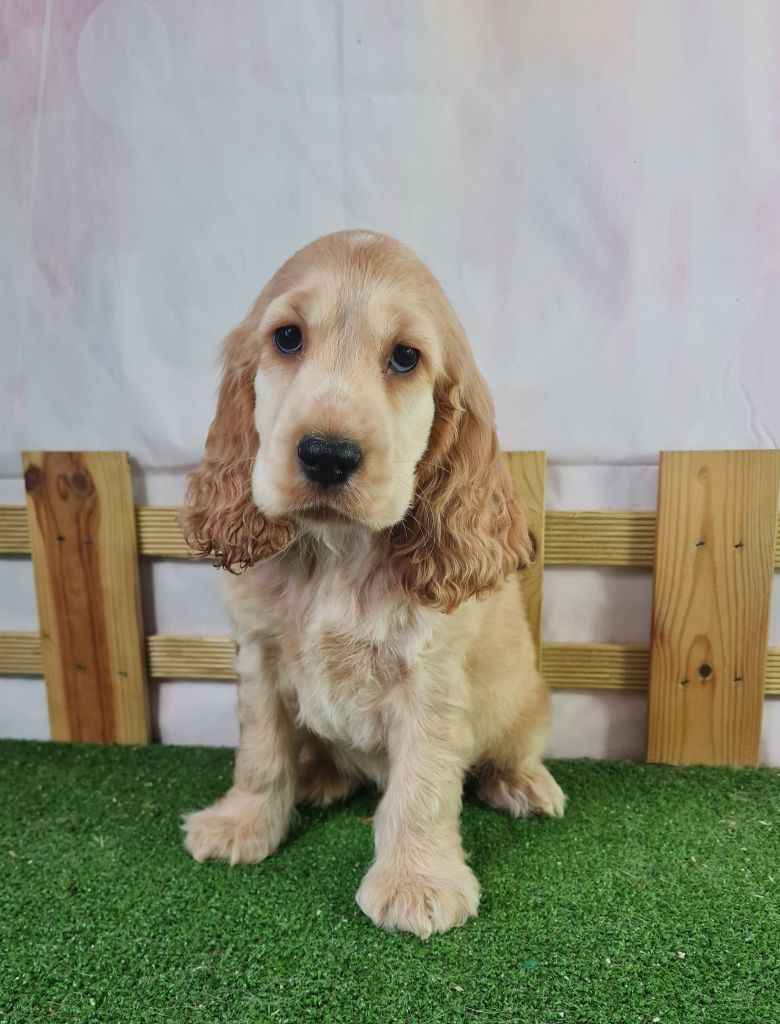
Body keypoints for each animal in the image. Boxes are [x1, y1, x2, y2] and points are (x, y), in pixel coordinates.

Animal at [181, 230, 564, 938]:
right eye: (287, 338)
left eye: (405, 357)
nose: (327, 455)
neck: (337, 552)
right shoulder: (258, 656)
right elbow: (260, 753)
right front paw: (242, 824)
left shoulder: (429, 681)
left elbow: (420, 787)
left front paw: (417, 882)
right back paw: (317, 776)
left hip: (529, 702)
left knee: (512, 752)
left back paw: (524, 785)